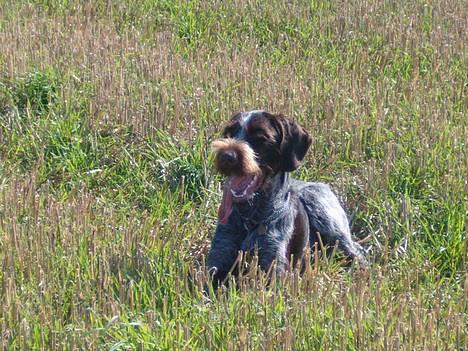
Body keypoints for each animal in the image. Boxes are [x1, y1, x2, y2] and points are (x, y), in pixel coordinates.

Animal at [207, 111, 366, 288]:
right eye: (228, 133)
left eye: (260, 137)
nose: (226, 156)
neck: (250, 219)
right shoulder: (217, 265)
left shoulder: (274, 274)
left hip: (324, 214)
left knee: (357, 254)